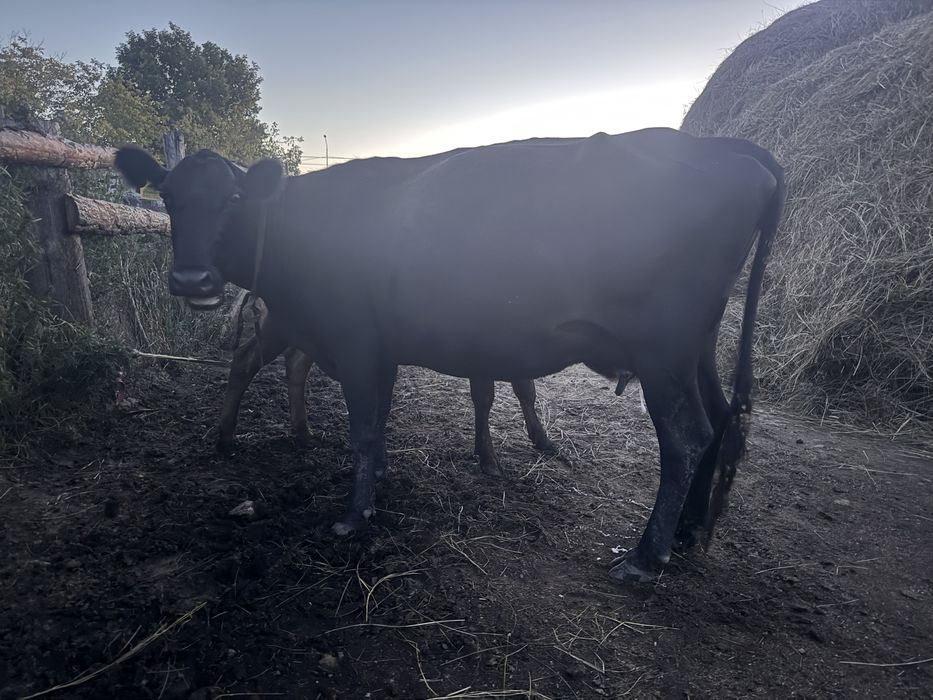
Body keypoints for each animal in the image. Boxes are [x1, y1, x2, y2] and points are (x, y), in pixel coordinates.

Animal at [219, 294, 556, 476]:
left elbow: (526, 390)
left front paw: (543, 440)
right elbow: (484, 397)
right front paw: (488, 459)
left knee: (296, 363)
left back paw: (302, 432)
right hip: (281, 326)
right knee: (246, 360)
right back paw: (226, 437)